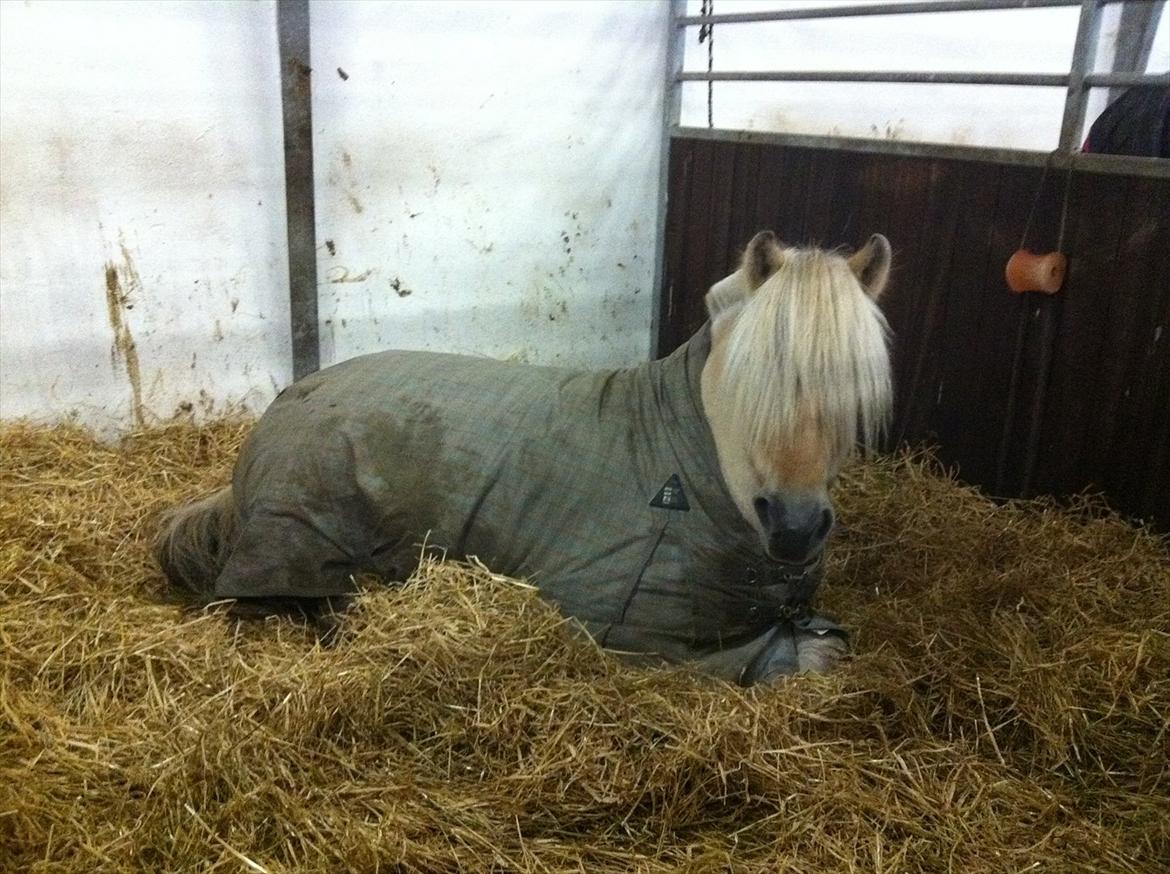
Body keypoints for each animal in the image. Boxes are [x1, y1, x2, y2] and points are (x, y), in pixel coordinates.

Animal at [154, 231, 892, 684]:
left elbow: (825, 641)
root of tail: (283, 405)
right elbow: (793, 658)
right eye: (753, 376)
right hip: (299, 538)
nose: (795, 528)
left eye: (856, 388)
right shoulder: (628, 631)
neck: (683, 464)